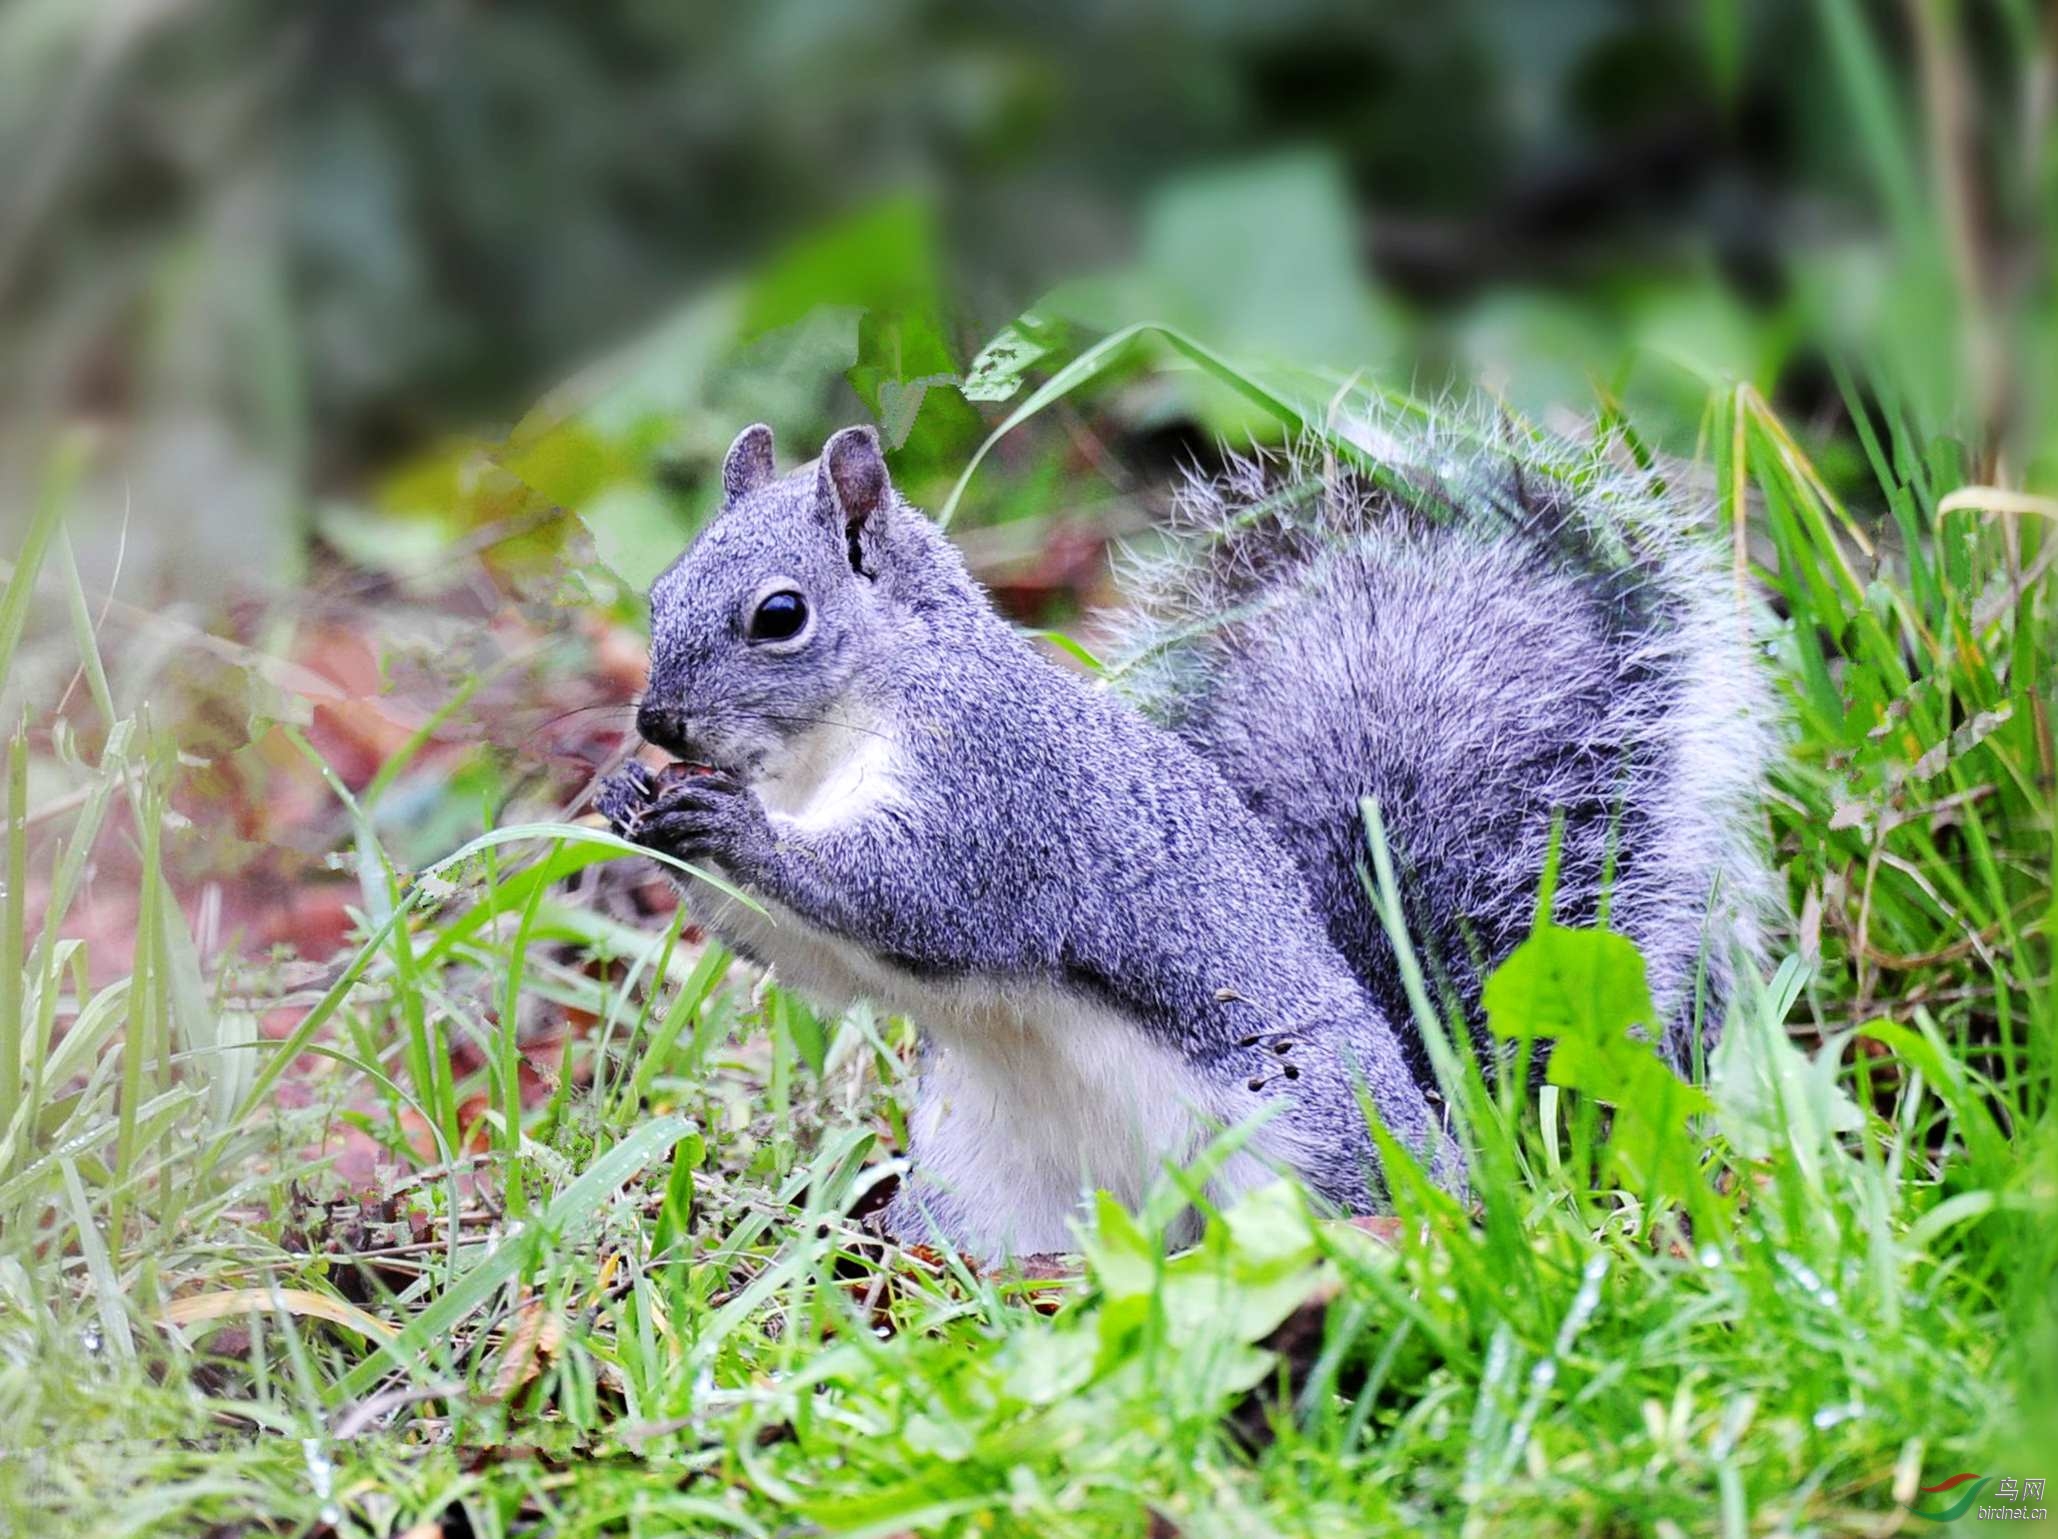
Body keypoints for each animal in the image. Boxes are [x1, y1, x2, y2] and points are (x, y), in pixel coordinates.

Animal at [596, 405, 1769, 1250]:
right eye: (660, 592)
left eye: (779, 615)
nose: (656, 722)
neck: (820, 755)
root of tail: (1445, 1133)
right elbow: (817, 961)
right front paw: (629, 805)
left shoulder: (997, 791)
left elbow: (923, 899)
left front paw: (733, 830)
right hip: (986, 1176)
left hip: (1298, 1136)